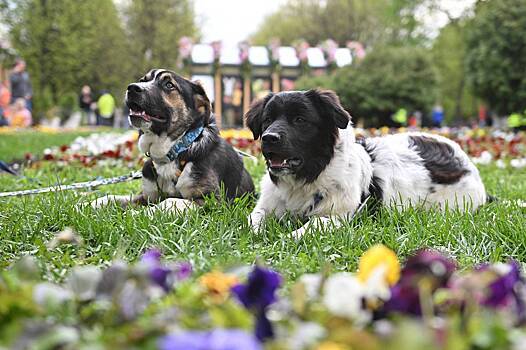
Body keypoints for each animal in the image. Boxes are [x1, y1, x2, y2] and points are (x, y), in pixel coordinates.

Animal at [92, 68, 256, 211]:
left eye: (169, 85)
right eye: (142, 80)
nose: (132, 88)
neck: (176, 150)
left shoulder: (212, 201)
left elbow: (170, 201)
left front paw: (137, 214)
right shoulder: (147, 196)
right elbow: (112, 197)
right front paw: (89, 204)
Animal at [248, 90, 490, 238]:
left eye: (300, 120)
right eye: (267, 120)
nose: (269, 138)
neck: (308, 177)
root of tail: (465, 160)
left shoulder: (340, 215)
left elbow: (314, 224)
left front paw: (289, 236)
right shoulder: (266, 206)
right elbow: (253, 219)